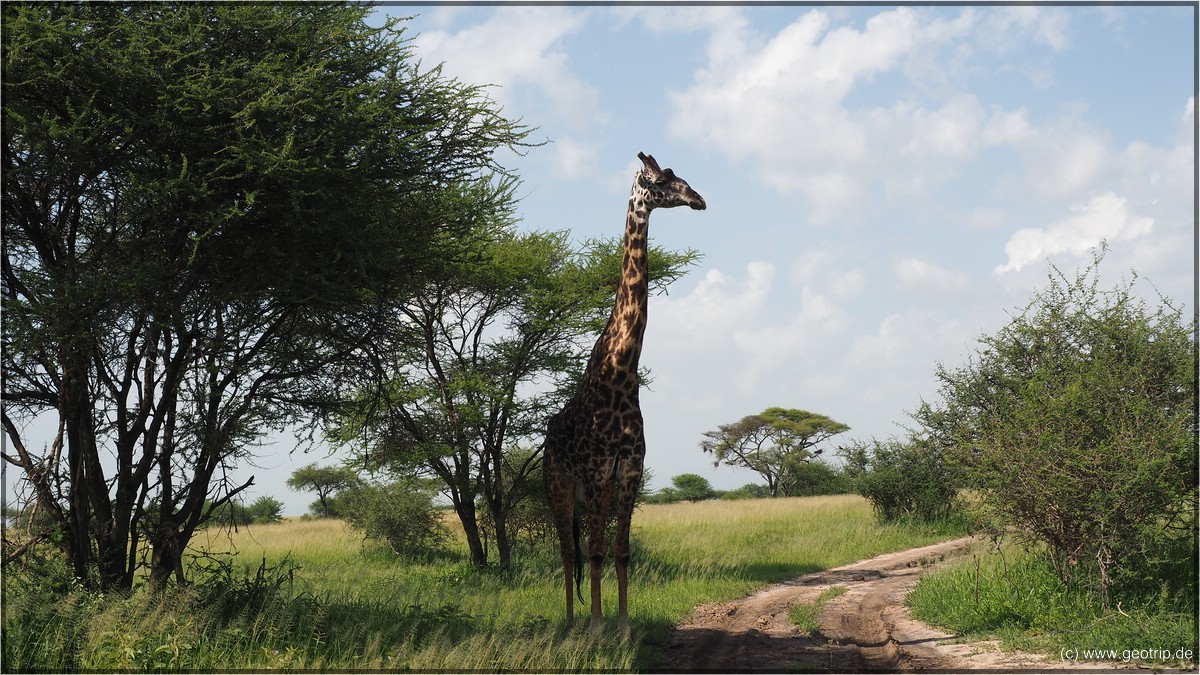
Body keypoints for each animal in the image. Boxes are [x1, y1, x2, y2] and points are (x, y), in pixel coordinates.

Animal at [542, 148, 700, 629]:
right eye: (661, 181)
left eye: (679, 176)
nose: (699, 199)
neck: (622, 374)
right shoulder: (596, 472)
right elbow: (594, 552)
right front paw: (597, 628)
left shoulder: (628, 472)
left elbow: (622, 552)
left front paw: (625, 627)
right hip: (558, 486)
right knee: (567, 551)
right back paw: (571, 623)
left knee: (577, 550)